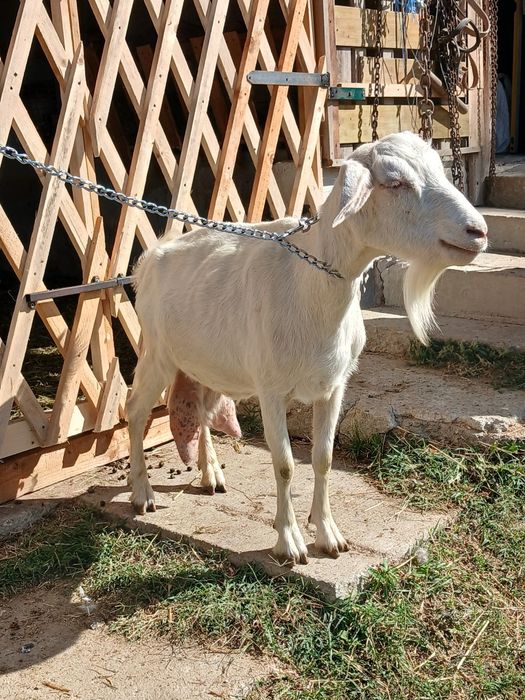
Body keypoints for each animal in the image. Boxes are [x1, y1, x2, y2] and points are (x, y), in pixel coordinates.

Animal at [126, 132, 488, 565]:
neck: (311, 287)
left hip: (208, 359)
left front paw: (328, 533)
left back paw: (210, 473)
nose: (478, 231)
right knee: (135, 410)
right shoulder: (270, 389)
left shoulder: (334, 386)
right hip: (157, 353)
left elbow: (324, 457)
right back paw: (142, 493)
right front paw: (290, 542)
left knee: (199, 405)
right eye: (394, 182)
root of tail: (150, 257)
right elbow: (283, 464)